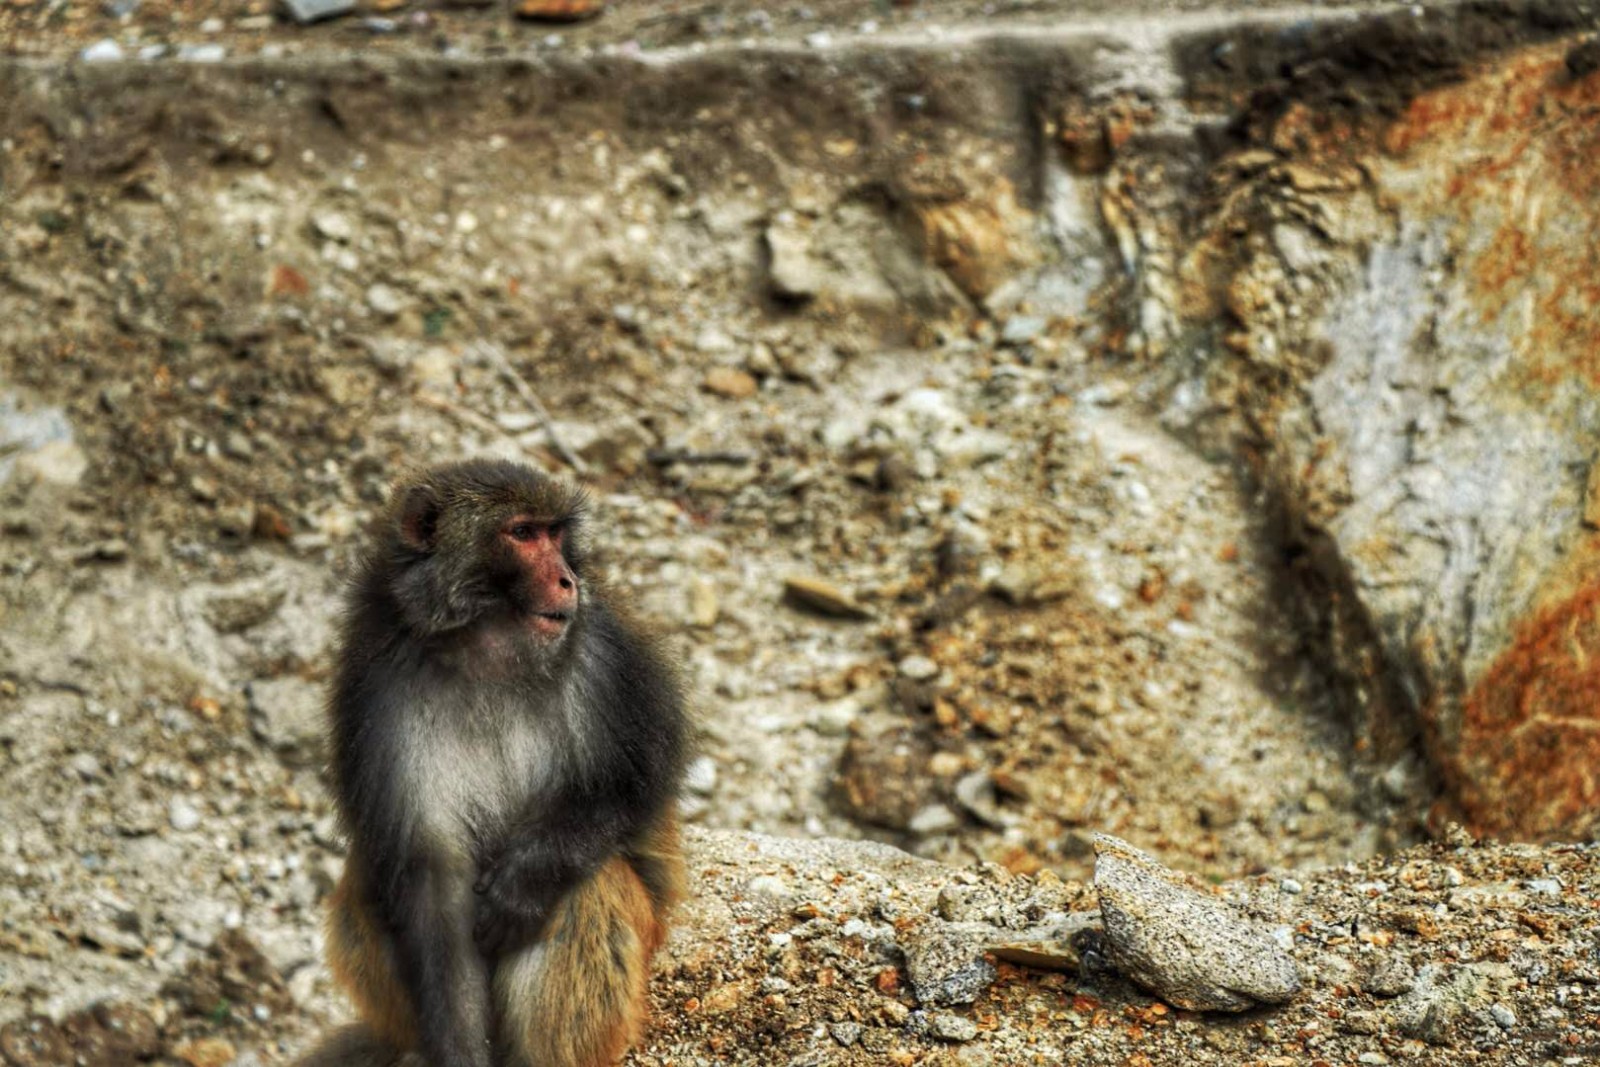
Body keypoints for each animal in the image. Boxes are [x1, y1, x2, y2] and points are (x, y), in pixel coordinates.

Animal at [297, 460, 684, 1067]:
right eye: (523, 534)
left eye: (555, 533)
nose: (568, 580)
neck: (487, 650)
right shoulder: (379, 688)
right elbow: (432, 878)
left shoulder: (606, 653)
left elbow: (629, 784)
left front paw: (524, 884)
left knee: (589, 889)